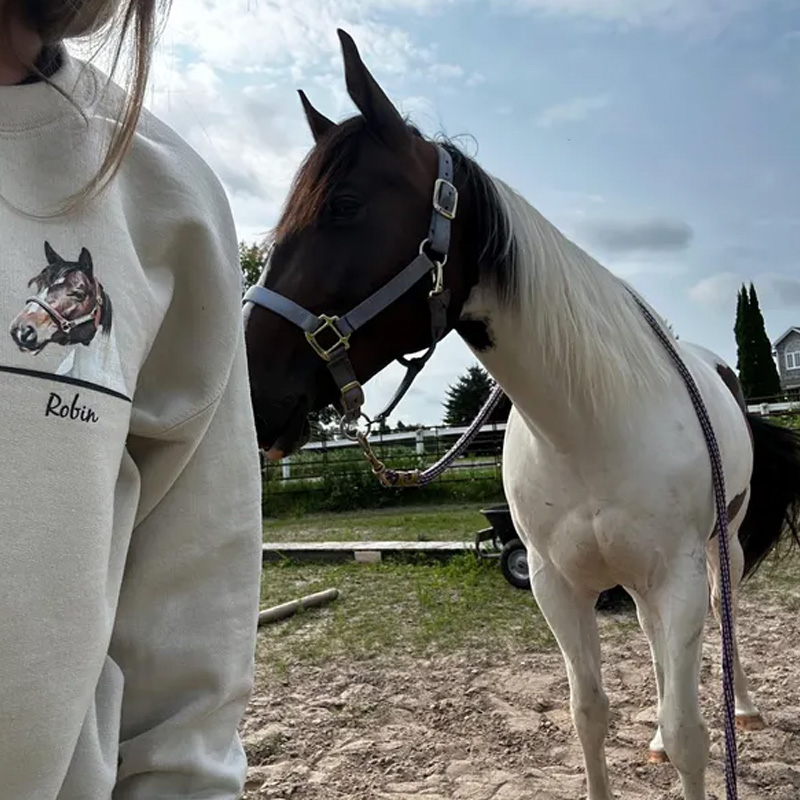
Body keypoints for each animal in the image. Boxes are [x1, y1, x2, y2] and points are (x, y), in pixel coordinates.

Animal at [243, 29, 800, 800]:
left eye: (346, 206)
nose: (246, 384)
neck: (587, 426)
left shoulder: (680, 577)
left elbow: (695, 734)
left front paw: (692, 735)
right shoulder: (555, 586)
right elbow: (589, 715)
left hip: (723, 548)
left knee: (725, 620)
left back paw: (741, 706)